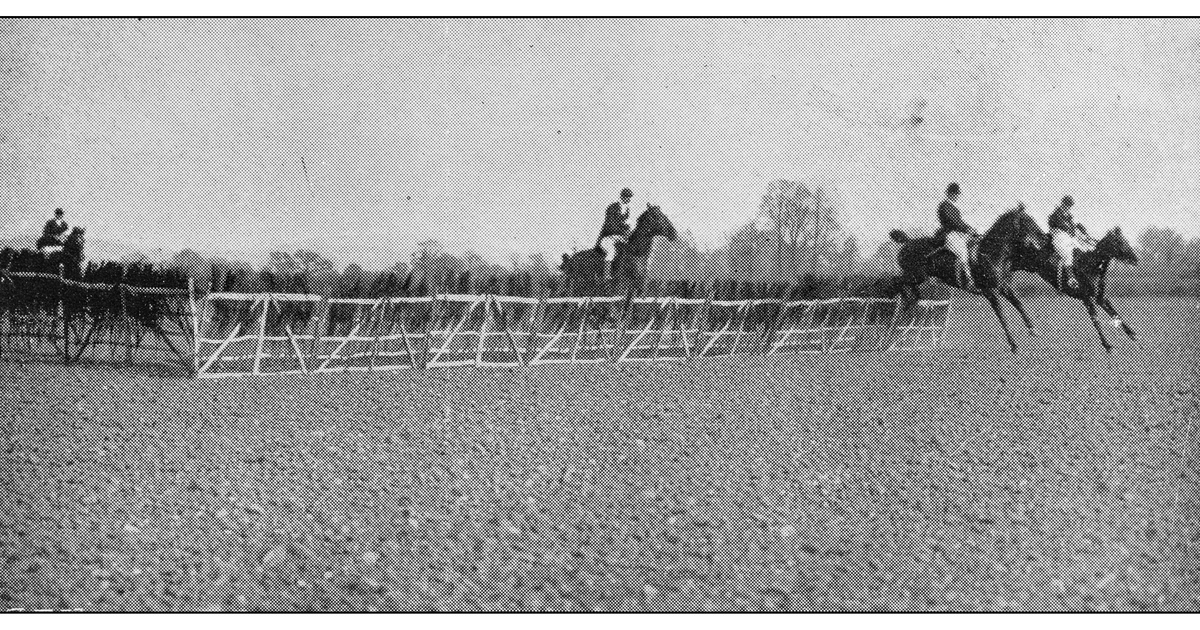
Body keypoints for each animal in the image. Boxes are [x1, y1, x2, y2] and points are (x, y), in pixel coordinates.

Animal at [892, 206, 1051, 352]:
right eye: (1028, 220)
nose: (1044, 238)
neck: (992, 254)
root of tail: (907, 242)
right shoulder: (990, 292)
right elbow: (1001, 314)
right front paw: (1013, 344)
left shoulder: (1004, 287)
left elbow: (1018, 304)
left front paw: (1033, 330)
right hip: (917, 275)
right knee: (896, 280)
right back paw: (904, 300)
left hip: (918, 277)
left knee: (905, 285)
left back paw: (910, 300)